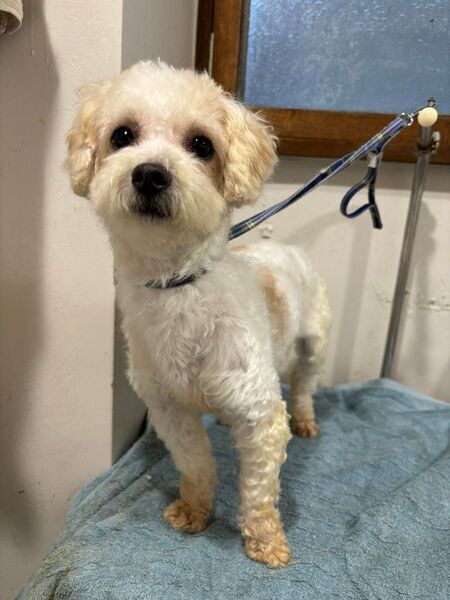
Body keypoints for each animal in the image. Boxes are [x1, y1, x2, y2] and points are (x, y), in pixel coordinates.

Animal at [66, 61, 331, 568]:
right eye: (122, 135)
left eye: (202, 145)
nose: (150, 175)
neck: (179, 287)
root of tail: (286, 248)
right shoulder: (169, 409)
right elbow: (196, 464)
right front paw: (194, 509)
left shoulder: (262, 417)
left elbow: (258, 492)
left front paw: (265, 540)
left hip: (314, 341)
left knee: (305, 383)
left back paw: (306, 417)